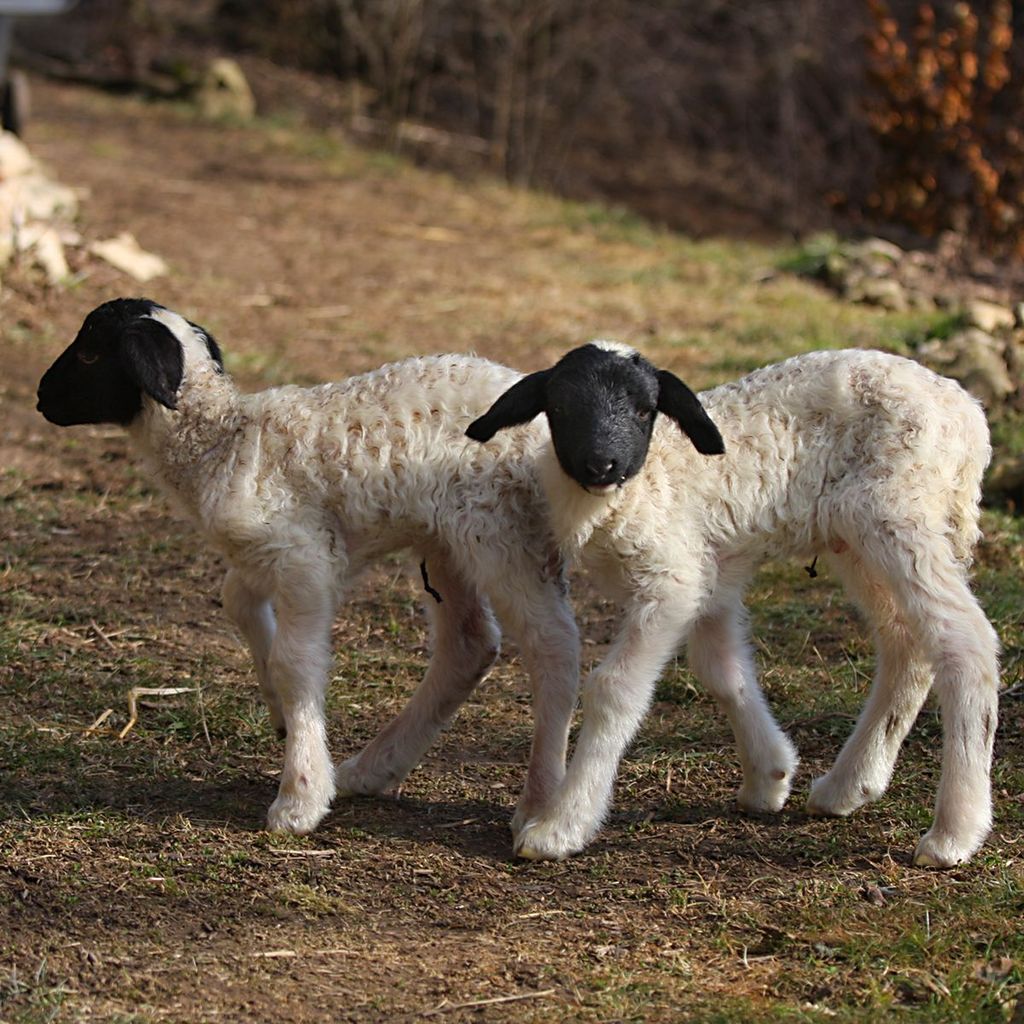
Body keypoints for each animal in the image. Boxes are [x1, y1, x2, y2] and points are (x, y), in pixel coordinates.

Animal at [37, 296, 585, 839]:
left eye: (89, 354)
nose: (41, 399)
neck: (222, 442)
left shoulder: (306, 561)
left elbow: (295, 662)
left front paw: (298, 798)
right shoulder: (263, 553)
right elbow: (237, 603)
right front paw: (281, 718)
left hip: (504, 533)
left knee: (553, 646)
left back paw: (540, 805)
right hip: (446, 542)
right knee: (470, 644)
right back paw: (373, 768)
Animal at [468, 342, 999, 864]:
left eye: (645, 409)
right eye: (558, 408)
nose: (601, 465)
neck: (644, 482)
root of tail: (967, 415)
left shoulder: (673, 580)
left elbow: (614, 688)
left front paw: (559, 826)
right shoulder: (710, 578)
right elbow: (723, 672)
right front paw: (770, 776)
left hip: (902, 515)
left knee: (967, 642)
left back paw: (954, 833)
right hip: (860, 537)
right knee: (906, 644)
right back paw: (848, 786)